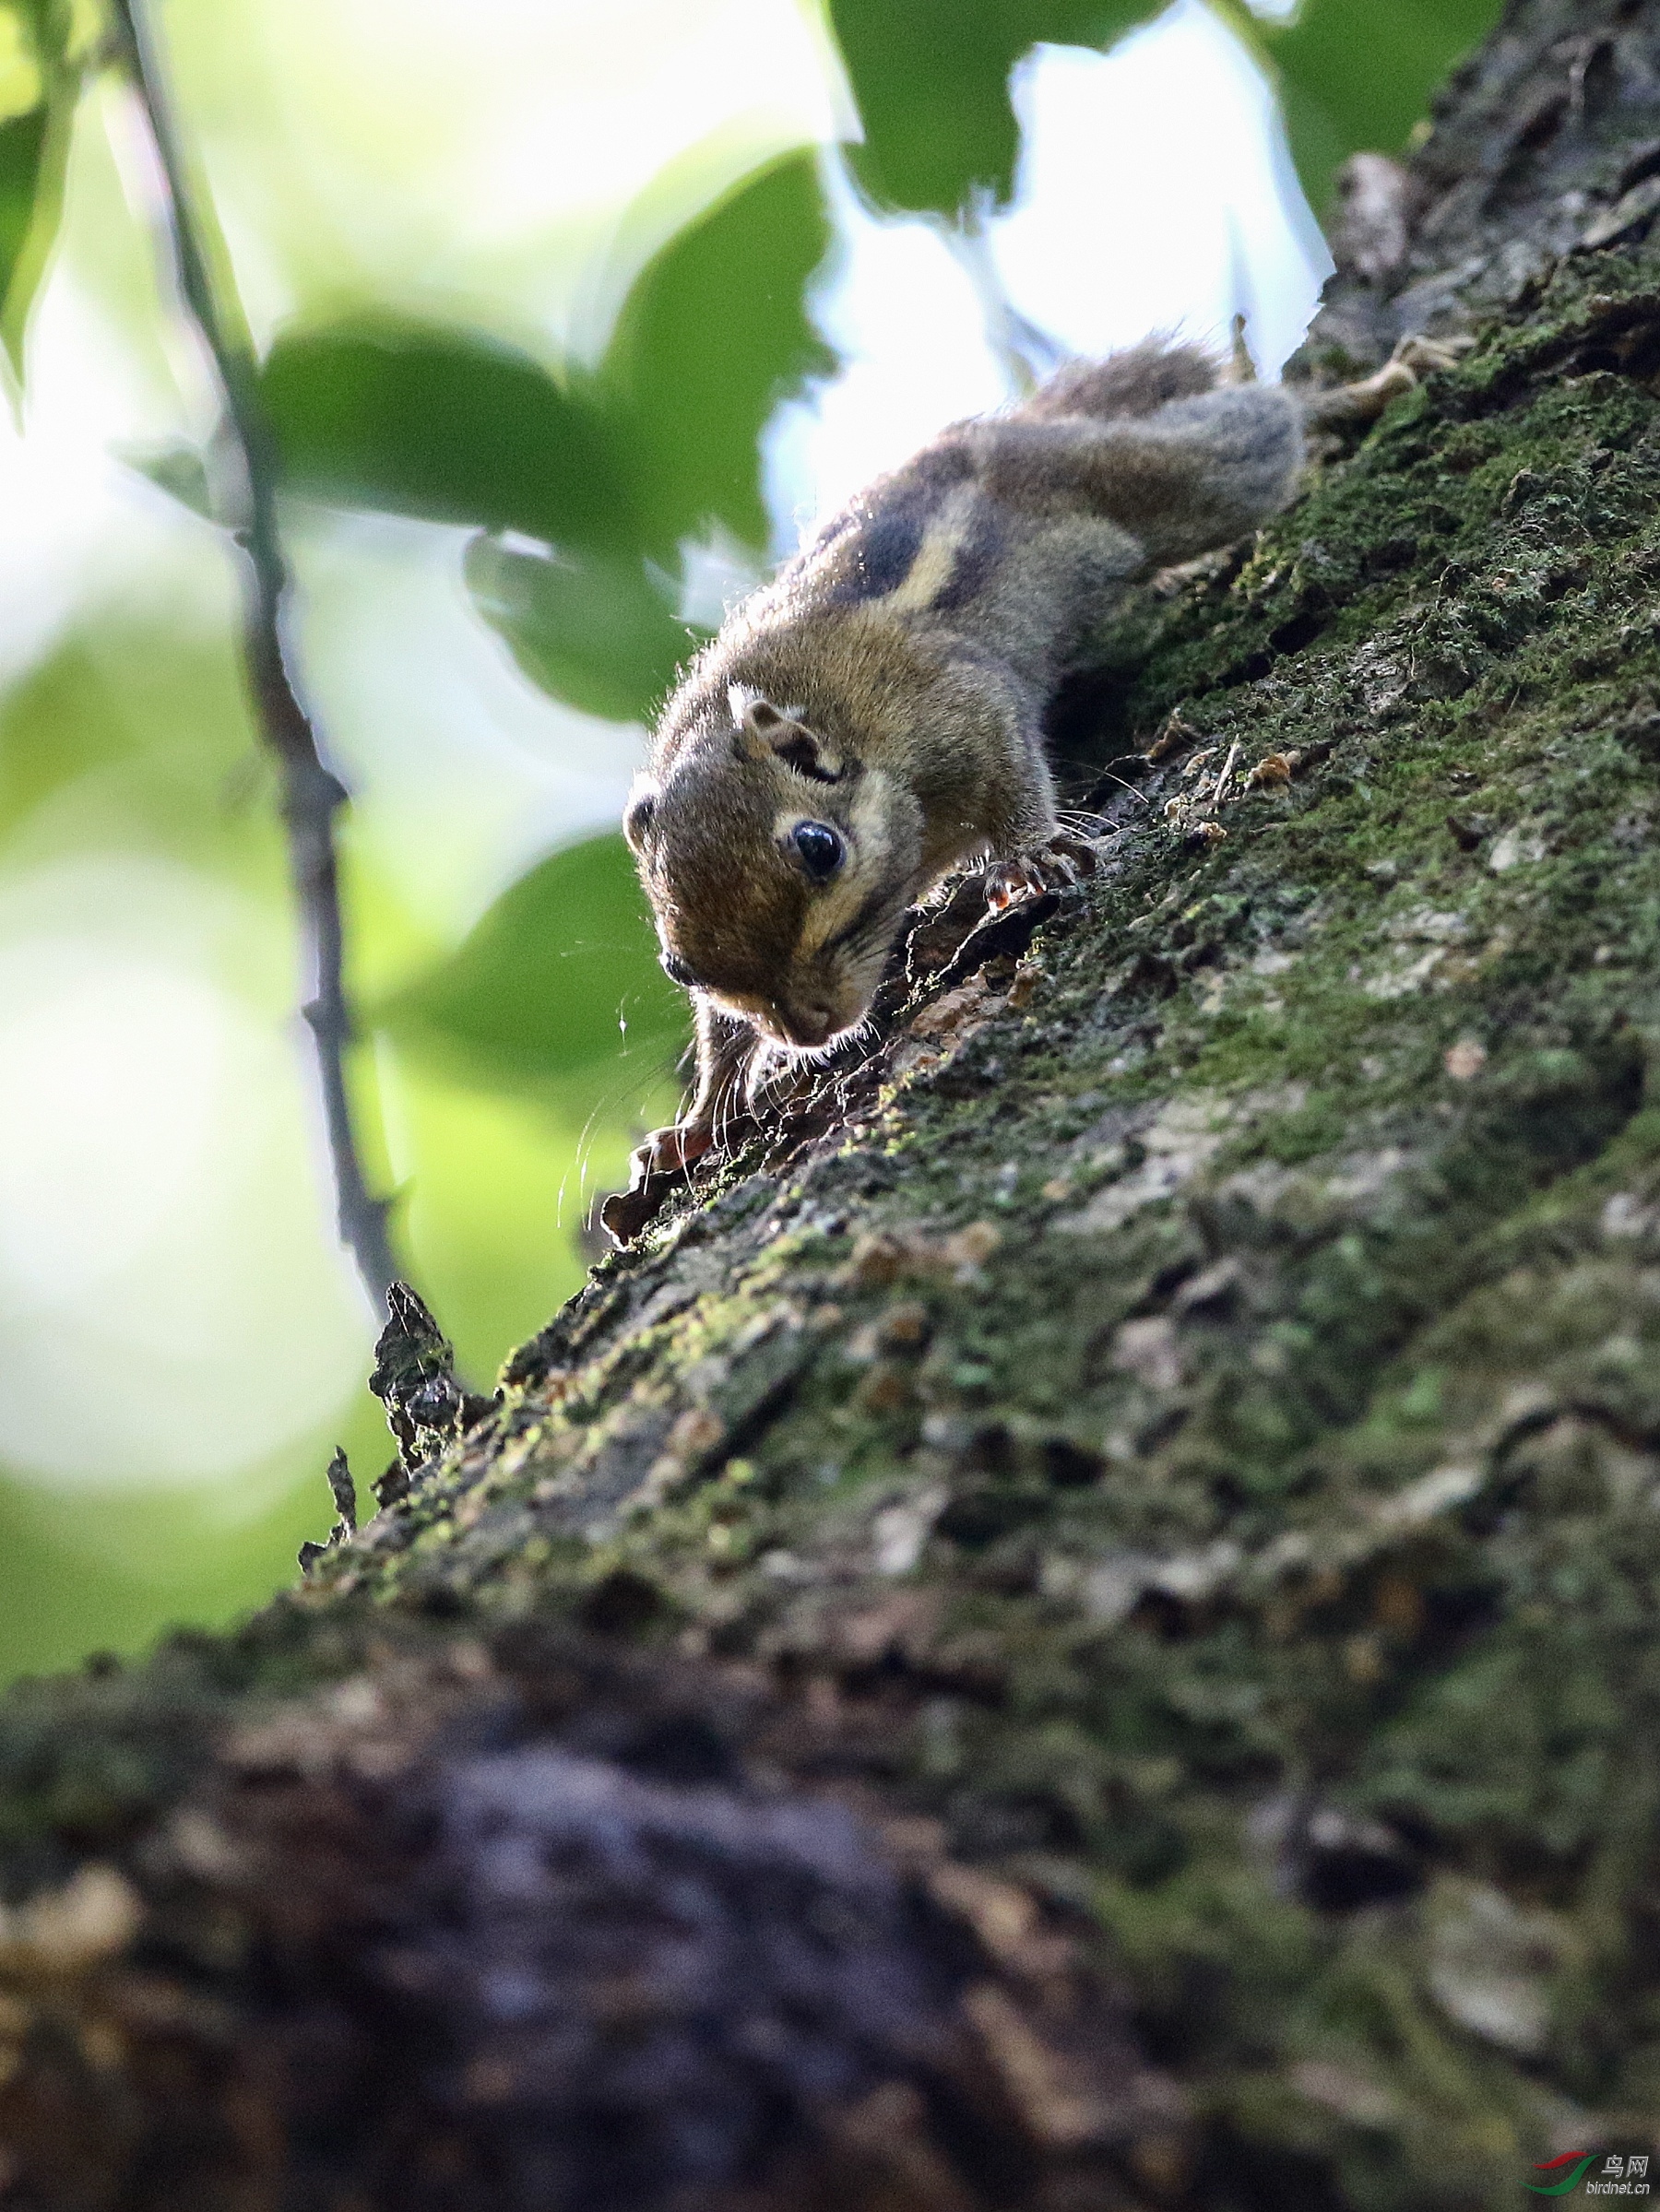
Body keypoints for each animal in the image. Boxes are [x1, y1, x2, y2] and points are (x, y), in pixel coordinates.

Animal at [620, 327, 1434, 1212]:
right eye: (676, 963)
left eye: (819, 847)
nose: (807, 1025)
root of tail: (1000, 432)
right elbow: (721, 1035)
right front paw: (697, 1121)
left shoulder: (965, 709)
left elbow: (1015, 769)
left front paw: (1032, 853)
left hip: (1153, 481)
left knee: (1254, 432)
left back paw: (1365, 388)